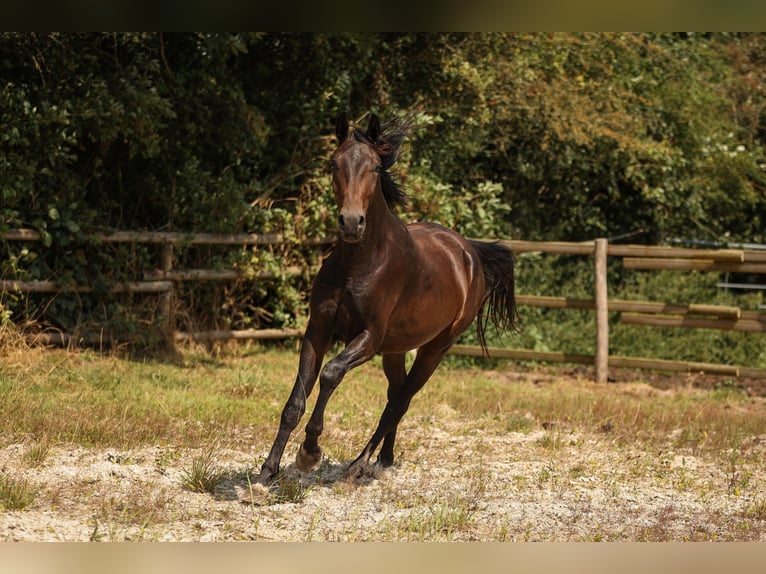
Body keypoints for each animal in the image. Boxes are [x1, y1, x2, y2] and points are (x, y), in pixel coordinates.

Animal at [255, 111, 520, 486]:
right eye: (333, 163)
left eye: (375, 167)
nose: (351, 222)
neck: (358, 263)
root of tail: (469, 251)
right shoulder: (318, 331)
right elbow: (296, 401)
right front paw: (267, 471)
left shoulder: (368, 338)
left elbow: (331, 373)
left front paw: (309, 453)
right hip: (395, 349)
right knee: (396, 393)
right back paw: (383, 459)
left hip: (435, 348)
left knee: (401, 401)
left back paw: (358, 465)